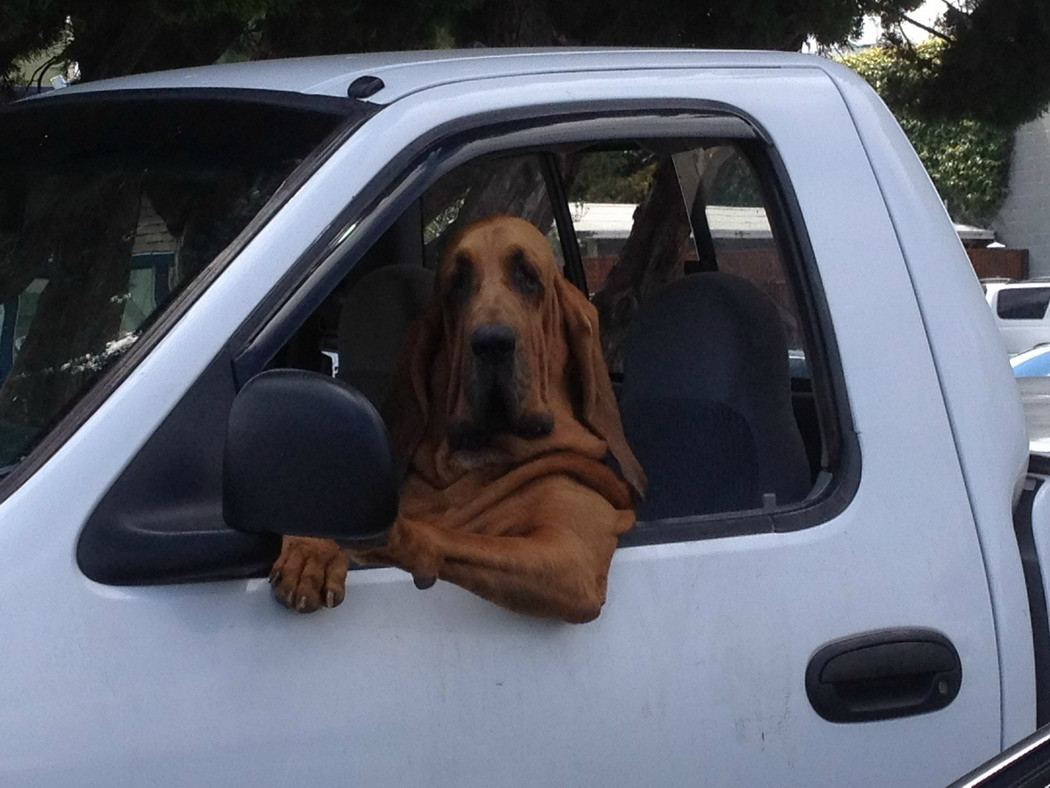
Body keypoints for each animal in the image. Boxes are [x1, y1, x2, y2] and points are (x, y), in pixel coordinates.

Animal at [268, 214, 646, 621]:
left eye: (528, 277)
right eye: (457, 283)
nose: (492, 343)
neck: (474, 461)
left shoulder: (571, 558)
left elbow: (457, 538)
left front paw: (383, 536)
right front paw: (311, 548)